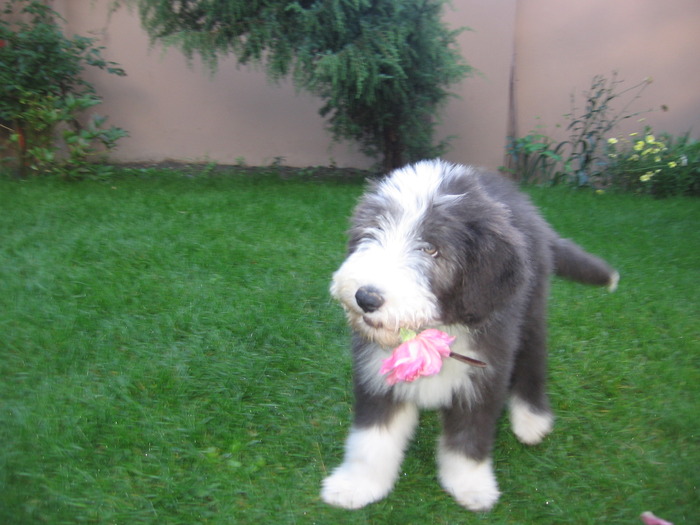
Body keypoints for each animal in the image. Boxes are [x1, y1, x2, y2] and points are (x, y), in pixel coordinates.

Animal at [320, 158, 616, 510]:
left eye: (431, 249)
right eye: (373, 231)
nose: (365, 297)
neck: (436, 328)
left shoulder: (486, 373)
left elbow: (470, 436)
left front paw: (470, 486)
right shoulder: (377, 374)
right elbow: (371, 437)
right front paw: (357, 485)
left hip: (531, 312)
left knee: (533, 359)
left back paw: (532, 419)